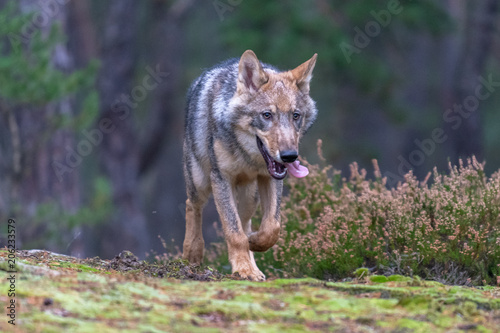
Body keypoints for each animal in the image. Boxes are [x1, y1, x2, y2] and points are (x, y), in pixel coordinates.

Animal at [183, 49, 316, 280]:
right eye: (267, 115)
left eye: (296, 115)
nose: (290, 156)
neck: (247, 157)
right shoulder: (221, 179)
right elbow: (234, 232)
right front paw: (243, 269)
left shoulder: (272, 178)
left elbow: (272, 227)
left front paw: (253, 245)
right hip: (200, 183)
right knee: (191, 205)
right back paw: (192, 254)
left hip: (249, 197)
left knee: (245, 223)